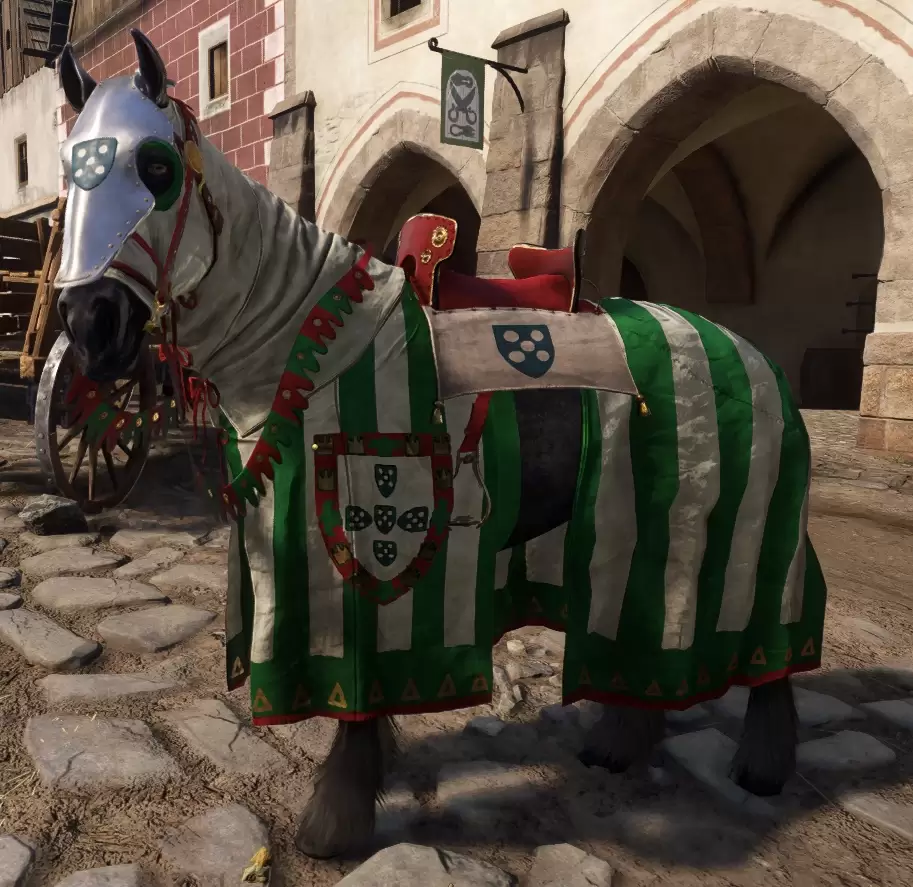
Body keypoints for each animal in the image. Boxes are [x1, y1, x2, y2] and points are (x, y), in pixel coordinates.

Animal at [54, 32, 826, 860]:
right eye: (68, 172)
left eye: (157, 168)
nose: (92, 324)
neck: (315, 348)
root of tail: (750, 354)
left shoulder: (360, 566)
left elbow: (359, 701)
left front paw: (336, 819)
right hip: (639, 539)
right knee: (646, 638)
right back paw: (621, 743)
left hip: (729, 539)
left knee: (767, 646)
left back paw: (760, 765)